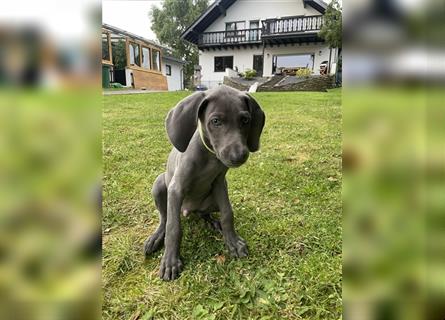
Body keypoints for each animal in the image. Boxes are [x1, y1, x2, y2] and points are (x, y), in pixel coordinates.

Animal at [145, 84, 264, 280]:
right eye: (215, 121)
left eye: (245, 120)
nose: (239, 156)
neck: (210, 156)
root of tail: (188, 210)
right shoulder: (176, 188)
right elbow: (173, 227)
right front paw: (170, 261)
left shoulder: (220, 184)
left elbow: (227, 213)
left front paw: (232, 241)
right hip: (160, 184)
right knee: (164, 217)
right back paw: (156, 237)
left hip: (211, 200)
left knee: (204, 213)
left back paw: (213, 222)